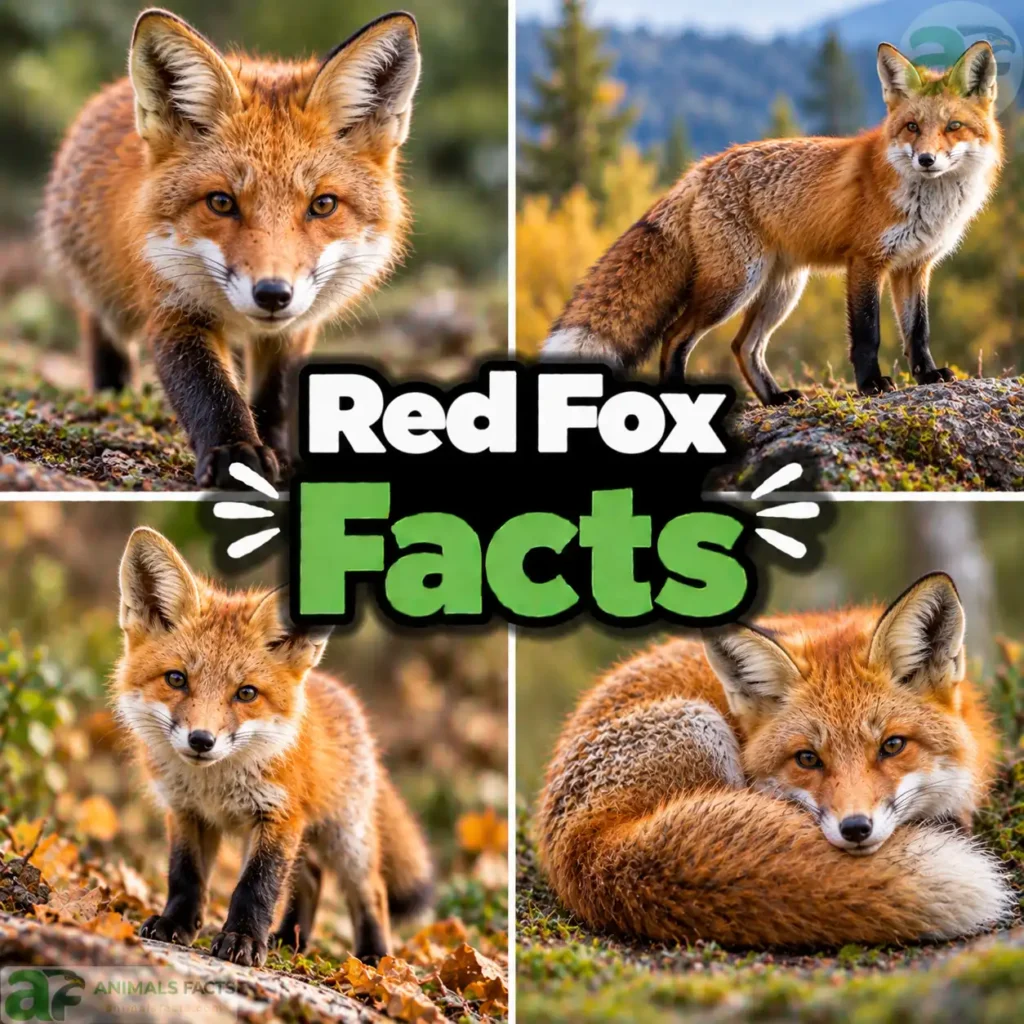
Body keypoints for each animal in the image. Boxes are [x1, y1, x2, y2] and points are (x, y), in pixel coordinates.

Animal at [42, 9, 420, 488]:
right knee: (103, 335)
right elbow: (209, 390)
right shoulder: (173, 308)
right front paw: (235, 452)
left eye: (323, 205)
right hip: (103, 296)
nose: (273, 294)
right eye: (221, 202)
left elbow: (276, 394)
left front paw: (278, 453)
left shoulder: (297, 326)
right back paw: (112, 396)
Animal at [112, 527, 433, 966]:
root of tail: (341, 695)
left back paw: (373, 956)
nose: (201, 740)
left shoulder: (278, 815)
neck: (214, 785)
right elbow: (185, 875)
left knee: (371, 890)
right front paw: (175, 923)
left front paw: (243, 939)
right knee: (311, 878)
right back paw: (290, 939)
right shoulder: (185, 812)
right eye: (176, 679)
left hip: (345, 838)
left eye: (246, 693)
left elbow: (257, 886)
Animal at [541, 42, 1002, 405]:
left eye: (953, 127)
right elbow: (867, 335)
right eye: (911, 127)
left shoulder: (915, 266)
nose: (926, 160)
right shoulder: (866, 262)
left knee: (743, 346)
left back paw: (775, 399)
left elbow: (917, 332)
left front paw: (928, 376)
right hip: (734, 285)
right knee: (675, 336)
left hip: (780, 289)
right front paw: (871, 385)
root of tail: (702, 168)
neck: (925, 203)